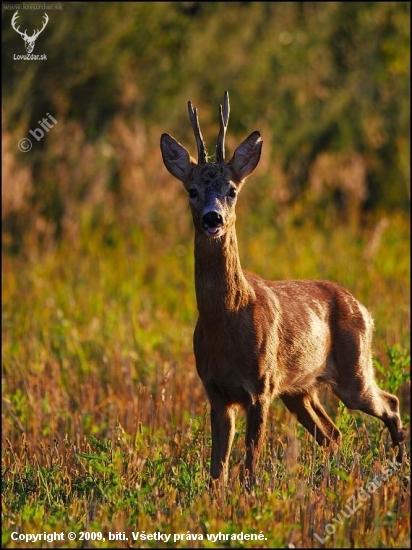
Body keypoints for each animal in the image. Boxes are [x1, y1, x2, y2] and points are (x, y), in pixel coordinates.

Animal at [159, 91, 408, 488]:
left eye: (232, 191)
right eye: (192, 191)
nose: (213, 218)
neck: (227, 319)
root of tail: (364, 309)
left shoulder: (261, 387)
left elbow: (250, 464)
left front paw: (249, 495)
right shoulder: (216, 391)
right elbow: (218, 469)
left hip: (353, 371)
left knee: (391, 404)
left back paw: (397, 468)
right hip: (300, 389)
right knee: (332, 433)